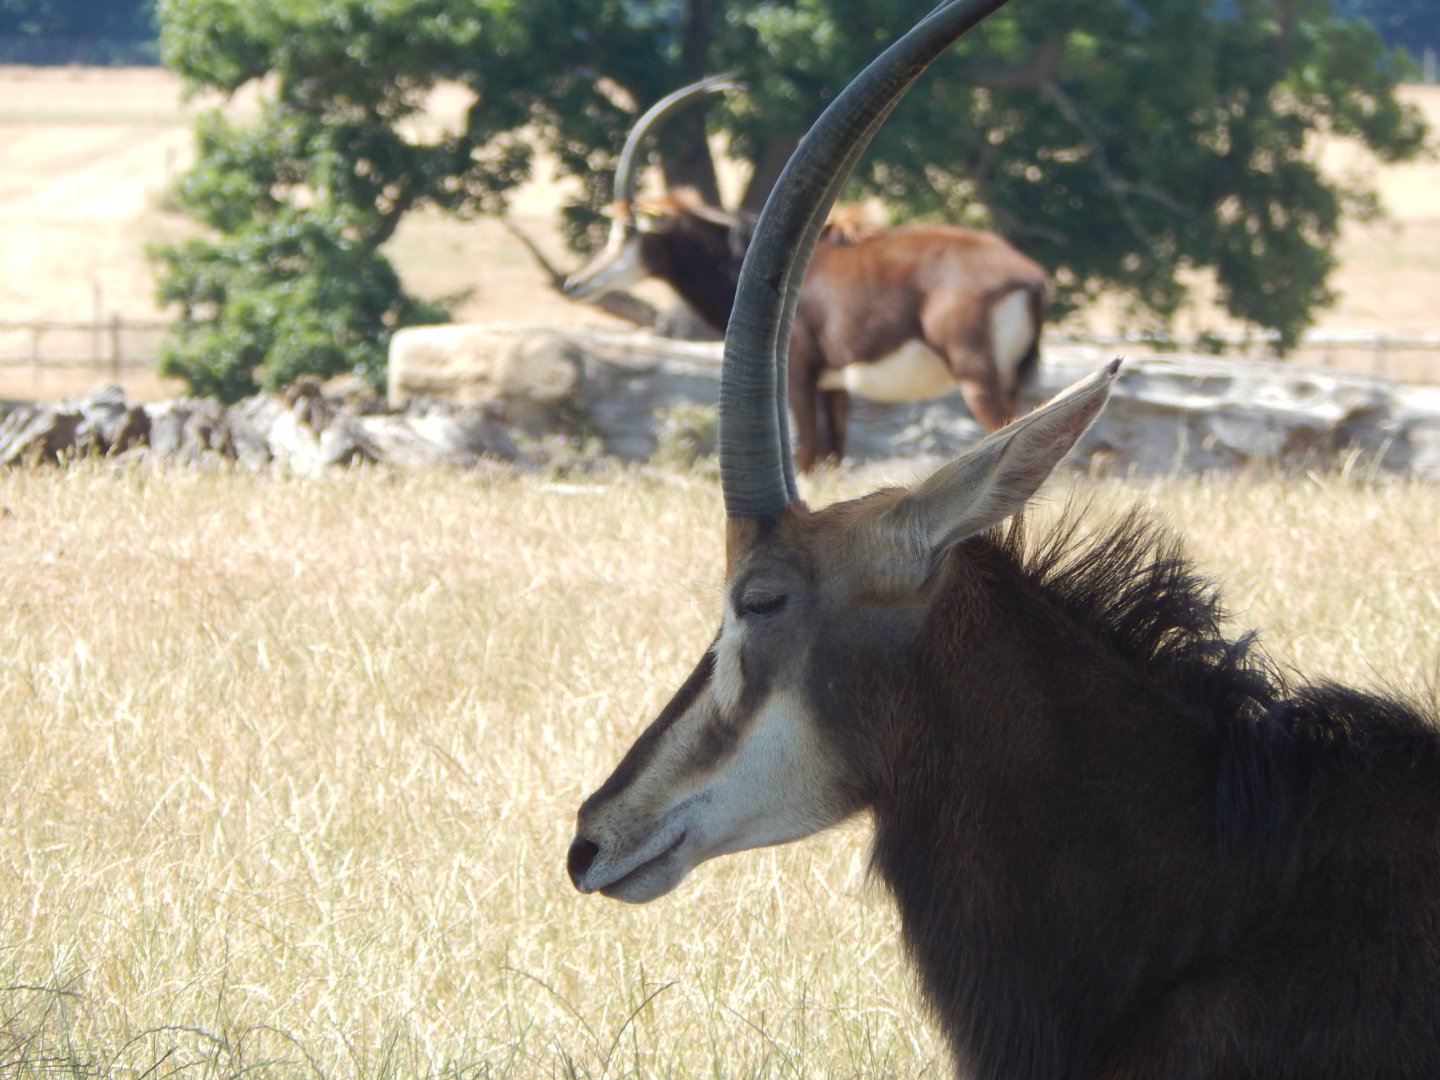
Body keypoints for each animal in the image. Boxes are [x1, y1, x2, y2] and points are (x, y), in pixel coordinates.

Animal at [564, 71, 1049, 473]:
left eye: (627, 231)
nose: (575, 282)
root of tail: (1030, 277)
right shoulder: (834, 383)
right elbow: (833, 455)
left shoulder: (797, 367)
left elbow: (808, 454)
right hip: (1015, 378)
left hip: (974, 373)